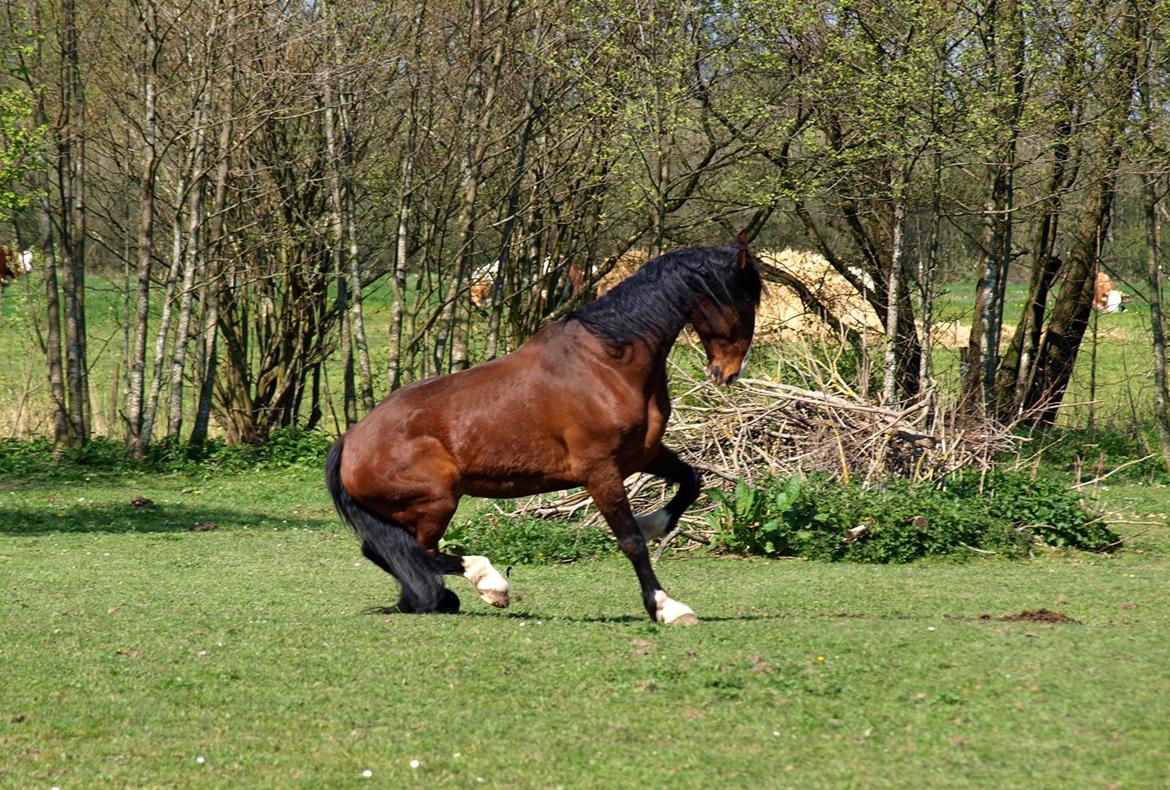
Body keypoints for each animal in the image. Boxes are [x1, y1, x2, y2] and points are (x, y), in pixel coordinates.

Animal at [327, 232, 767, 622]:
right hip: (438, 499)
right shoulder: (600, 470)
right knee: (418, 551)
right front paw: (666, 607)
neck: (607, 364)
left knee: (388, 551)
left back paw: (440, 597)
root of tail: (350, 440)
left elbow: (691, 481)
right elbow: (630, 541)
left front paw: (654, 523)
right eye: (746, 297)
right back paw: (489, 583)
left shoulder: (644, 454)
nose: (730, 372)